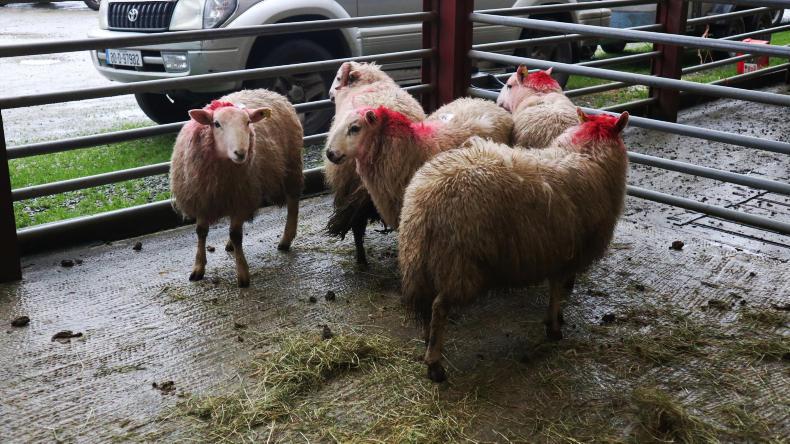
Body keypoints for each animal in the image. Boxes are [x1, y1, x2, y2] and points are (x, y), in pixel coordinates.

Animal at [170, 90, 304, 287]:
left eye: (248, 122)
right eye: (216, 124)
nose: (241, 153)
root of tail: (270, 92)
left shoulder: (241, 199)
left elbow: (236, 234)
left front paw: (242, 273)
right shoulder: (202, 198)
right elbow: (201, 232)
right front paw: (198, 268)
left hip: (292, 165)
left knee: (293, 203)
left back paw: (286, 240)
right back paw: (230, 246)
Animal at [398, 109, 630, 382]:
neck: (588, 153)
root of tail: (426, 197)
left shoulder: (556, 250)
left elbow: (556, 289)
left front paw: (555, 319)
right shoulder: (566, 253)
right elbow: (556, 290)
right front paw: (554, 327)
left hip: (423, 258)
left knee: (426, 304)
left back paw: (427, 341)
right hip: (461, 264)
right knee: (438, 307)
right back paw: (435, 364)